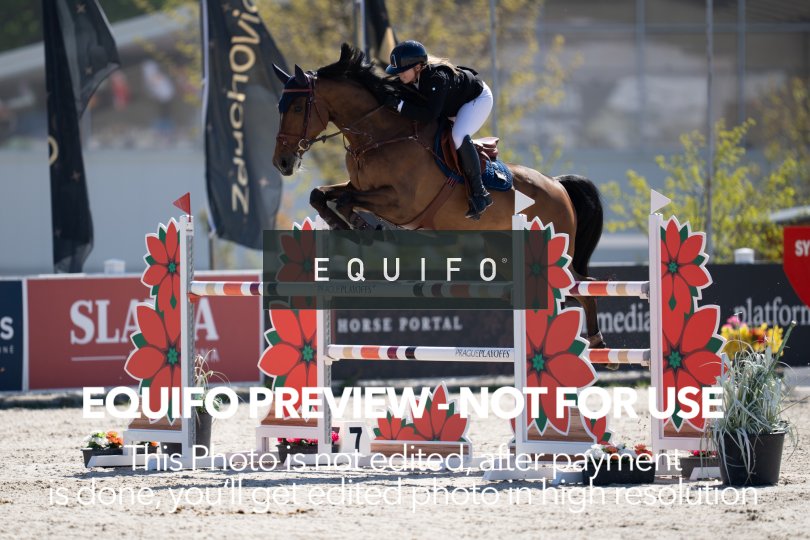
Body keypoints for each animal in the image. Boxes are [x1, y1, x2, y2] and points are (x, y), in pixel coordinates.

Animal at [271, 44, 606, 348]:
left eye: (297, 108)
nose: (282, 163)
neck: (379, 136)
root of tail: (557, 185)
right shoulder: (362, 188)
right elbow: (320, 194)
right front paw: (343, 225)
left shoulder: (402, 204)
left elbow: (345, 201)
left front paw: (363, 227)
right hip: (505, 249)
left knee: (583, 286)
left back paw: (597, 342)